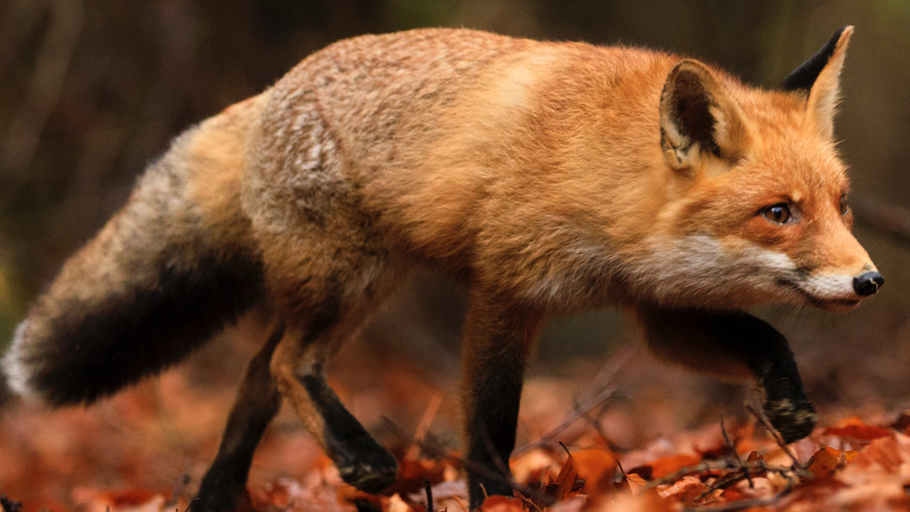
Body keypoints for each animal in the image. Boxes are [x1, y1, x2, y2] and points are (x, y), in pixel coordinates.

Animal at [1, 26, 882, 511]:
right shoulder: (505, 290)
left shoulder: (655, 307)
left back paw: (219, 498)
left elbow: (766, 336)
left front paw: (789, 405)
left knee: (255, 373)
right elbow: (489, 428)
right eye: (779, 212)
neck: (605, 175)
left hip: (353, 285)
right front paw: (497, 503)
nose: (871, 282)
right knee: (285, 364)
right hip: (349, 279)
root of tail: (269, 92)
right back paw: (359, 460)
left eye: (842, 205)